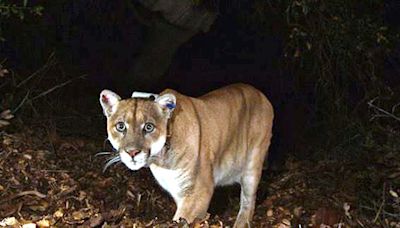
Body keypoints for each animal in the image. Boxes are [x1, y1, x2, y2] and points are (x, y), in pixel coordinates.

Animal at [100, 84, 276, 228]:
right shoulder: (179, 191)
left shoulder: (199, 190)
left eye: (149, 127)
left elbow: (182, 219)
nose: (132, 152)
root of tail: (261, 94)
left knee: (248, 201)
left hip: (252, 164)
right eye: (120, 126)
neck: (161, 160)